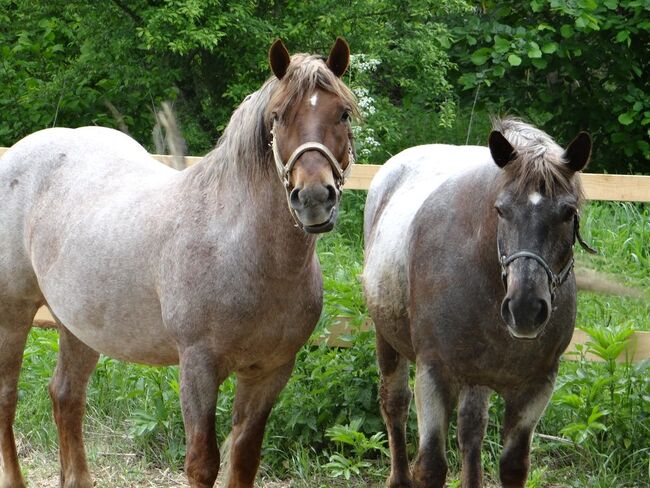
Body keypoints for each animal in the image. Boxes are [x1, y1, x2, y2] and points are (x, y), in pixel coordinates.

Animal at [0, 39, 356, 488]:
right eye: (278, 116)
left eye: (342, 113)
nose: (313, 198)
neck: (243, 251)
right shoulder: (198, 367)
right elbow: (202, 463)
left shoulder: (270, 371)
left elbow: (244, 460)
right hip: (13, 313)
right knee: (7, 396)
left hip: (78, 323)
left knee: (66, 395)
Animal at [362, 119, 596, 488]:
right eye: (501, 210)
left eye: (568, 212)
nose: (525, 309)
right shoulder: (433, 374)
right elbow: (431, 466)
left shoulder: (536, 386)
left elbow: (512, 465)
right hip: (387, 341)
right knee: (395, 404)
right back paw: (398, 477)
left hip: (476, 378)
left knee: (471, 429)